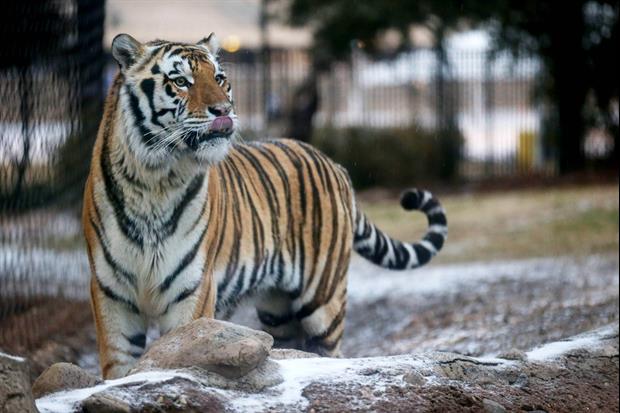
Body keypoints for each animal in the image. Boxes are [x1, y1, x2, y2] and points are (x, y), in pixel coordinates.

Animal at [85, 33, 448, 378]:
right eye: (181, 81)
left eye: (219, 78)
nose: (223, 110)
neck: (154, 179)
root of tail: (334, 164)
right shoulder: (111, 295)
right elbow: (118, 368)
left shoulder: (192, 290)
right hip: (278, 312)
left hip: (324, 301)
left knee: (331, 351)